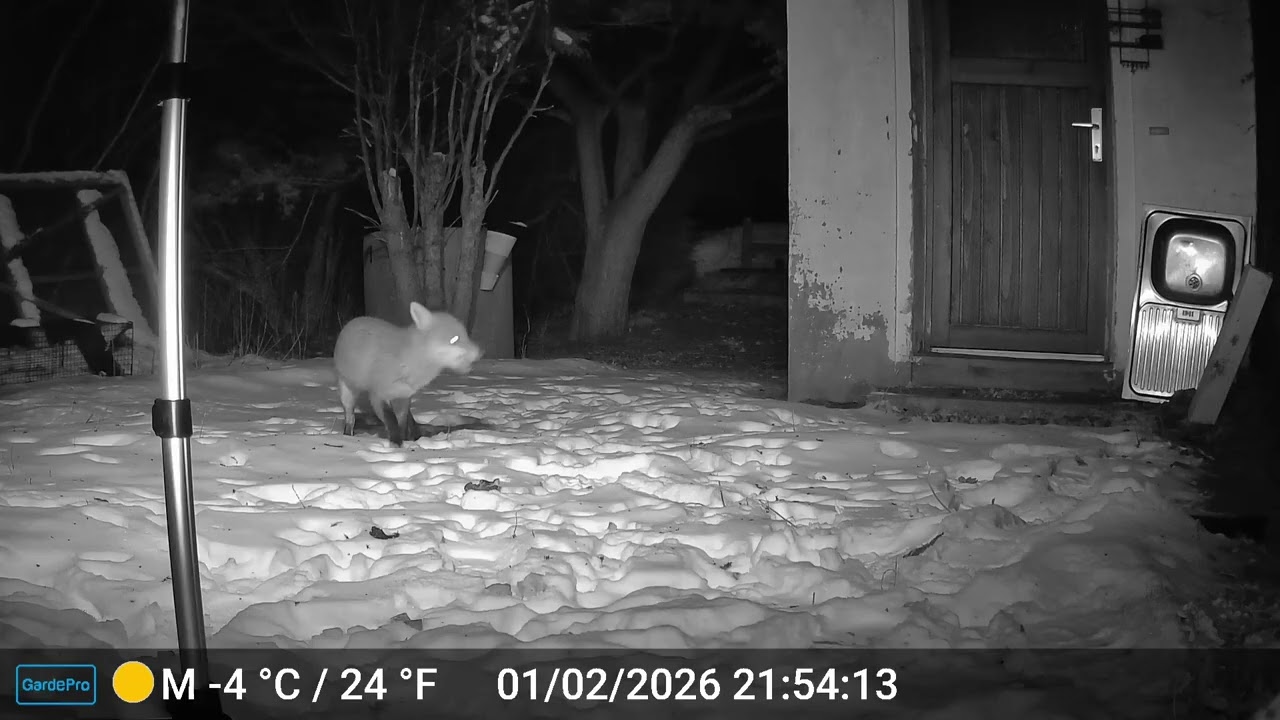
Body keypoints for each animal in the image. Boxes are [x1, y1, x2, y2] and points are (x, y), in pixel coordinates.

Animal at [333, 301, 482, 447]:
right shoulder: (378, 395)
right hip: (347, 393)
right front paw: (396, 444)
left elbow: (402, 423)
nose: (480, 352)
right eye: (455, 339)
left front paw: (405, 442)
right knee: (350, 419)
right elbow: (391, 421)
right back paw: (347, 437)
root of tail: (355, 320)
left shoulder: (403, 397)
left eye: (466, 336)